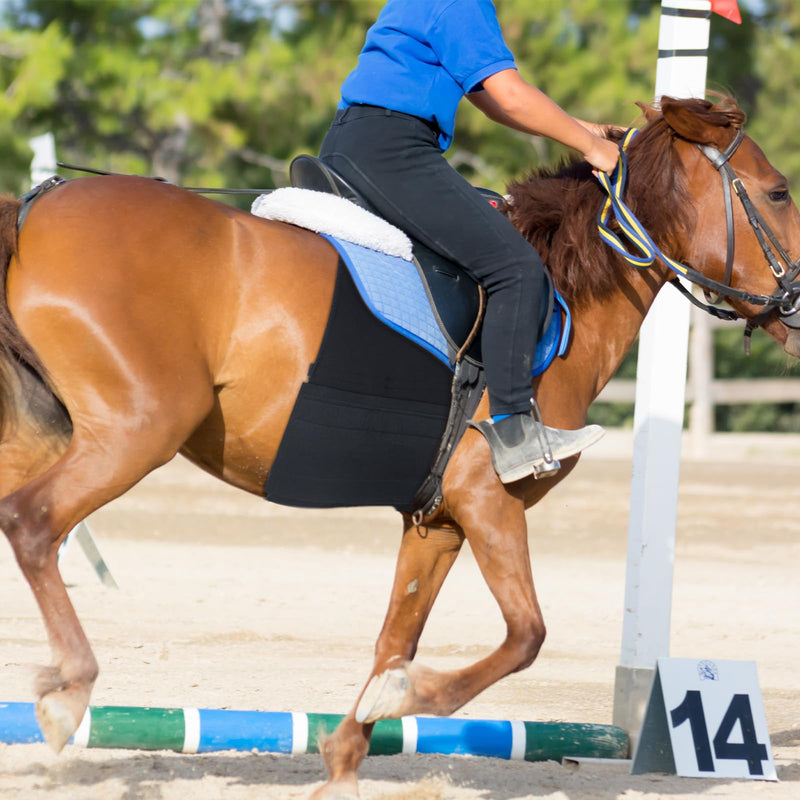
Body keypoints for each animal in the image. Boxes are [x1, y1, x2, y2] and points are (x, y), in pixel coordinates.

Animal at [1, 95, 799, 799]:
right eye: (779, 192)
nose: (797, 306)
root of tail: (37, 209)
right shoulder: (489, 498)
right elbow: (525, 635)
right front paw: (401, 699)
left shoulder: (438, 520)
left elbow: (396, 638)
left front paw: (347, 756)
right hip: (138, 431)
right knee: (33, 523)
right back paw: (68, 691)